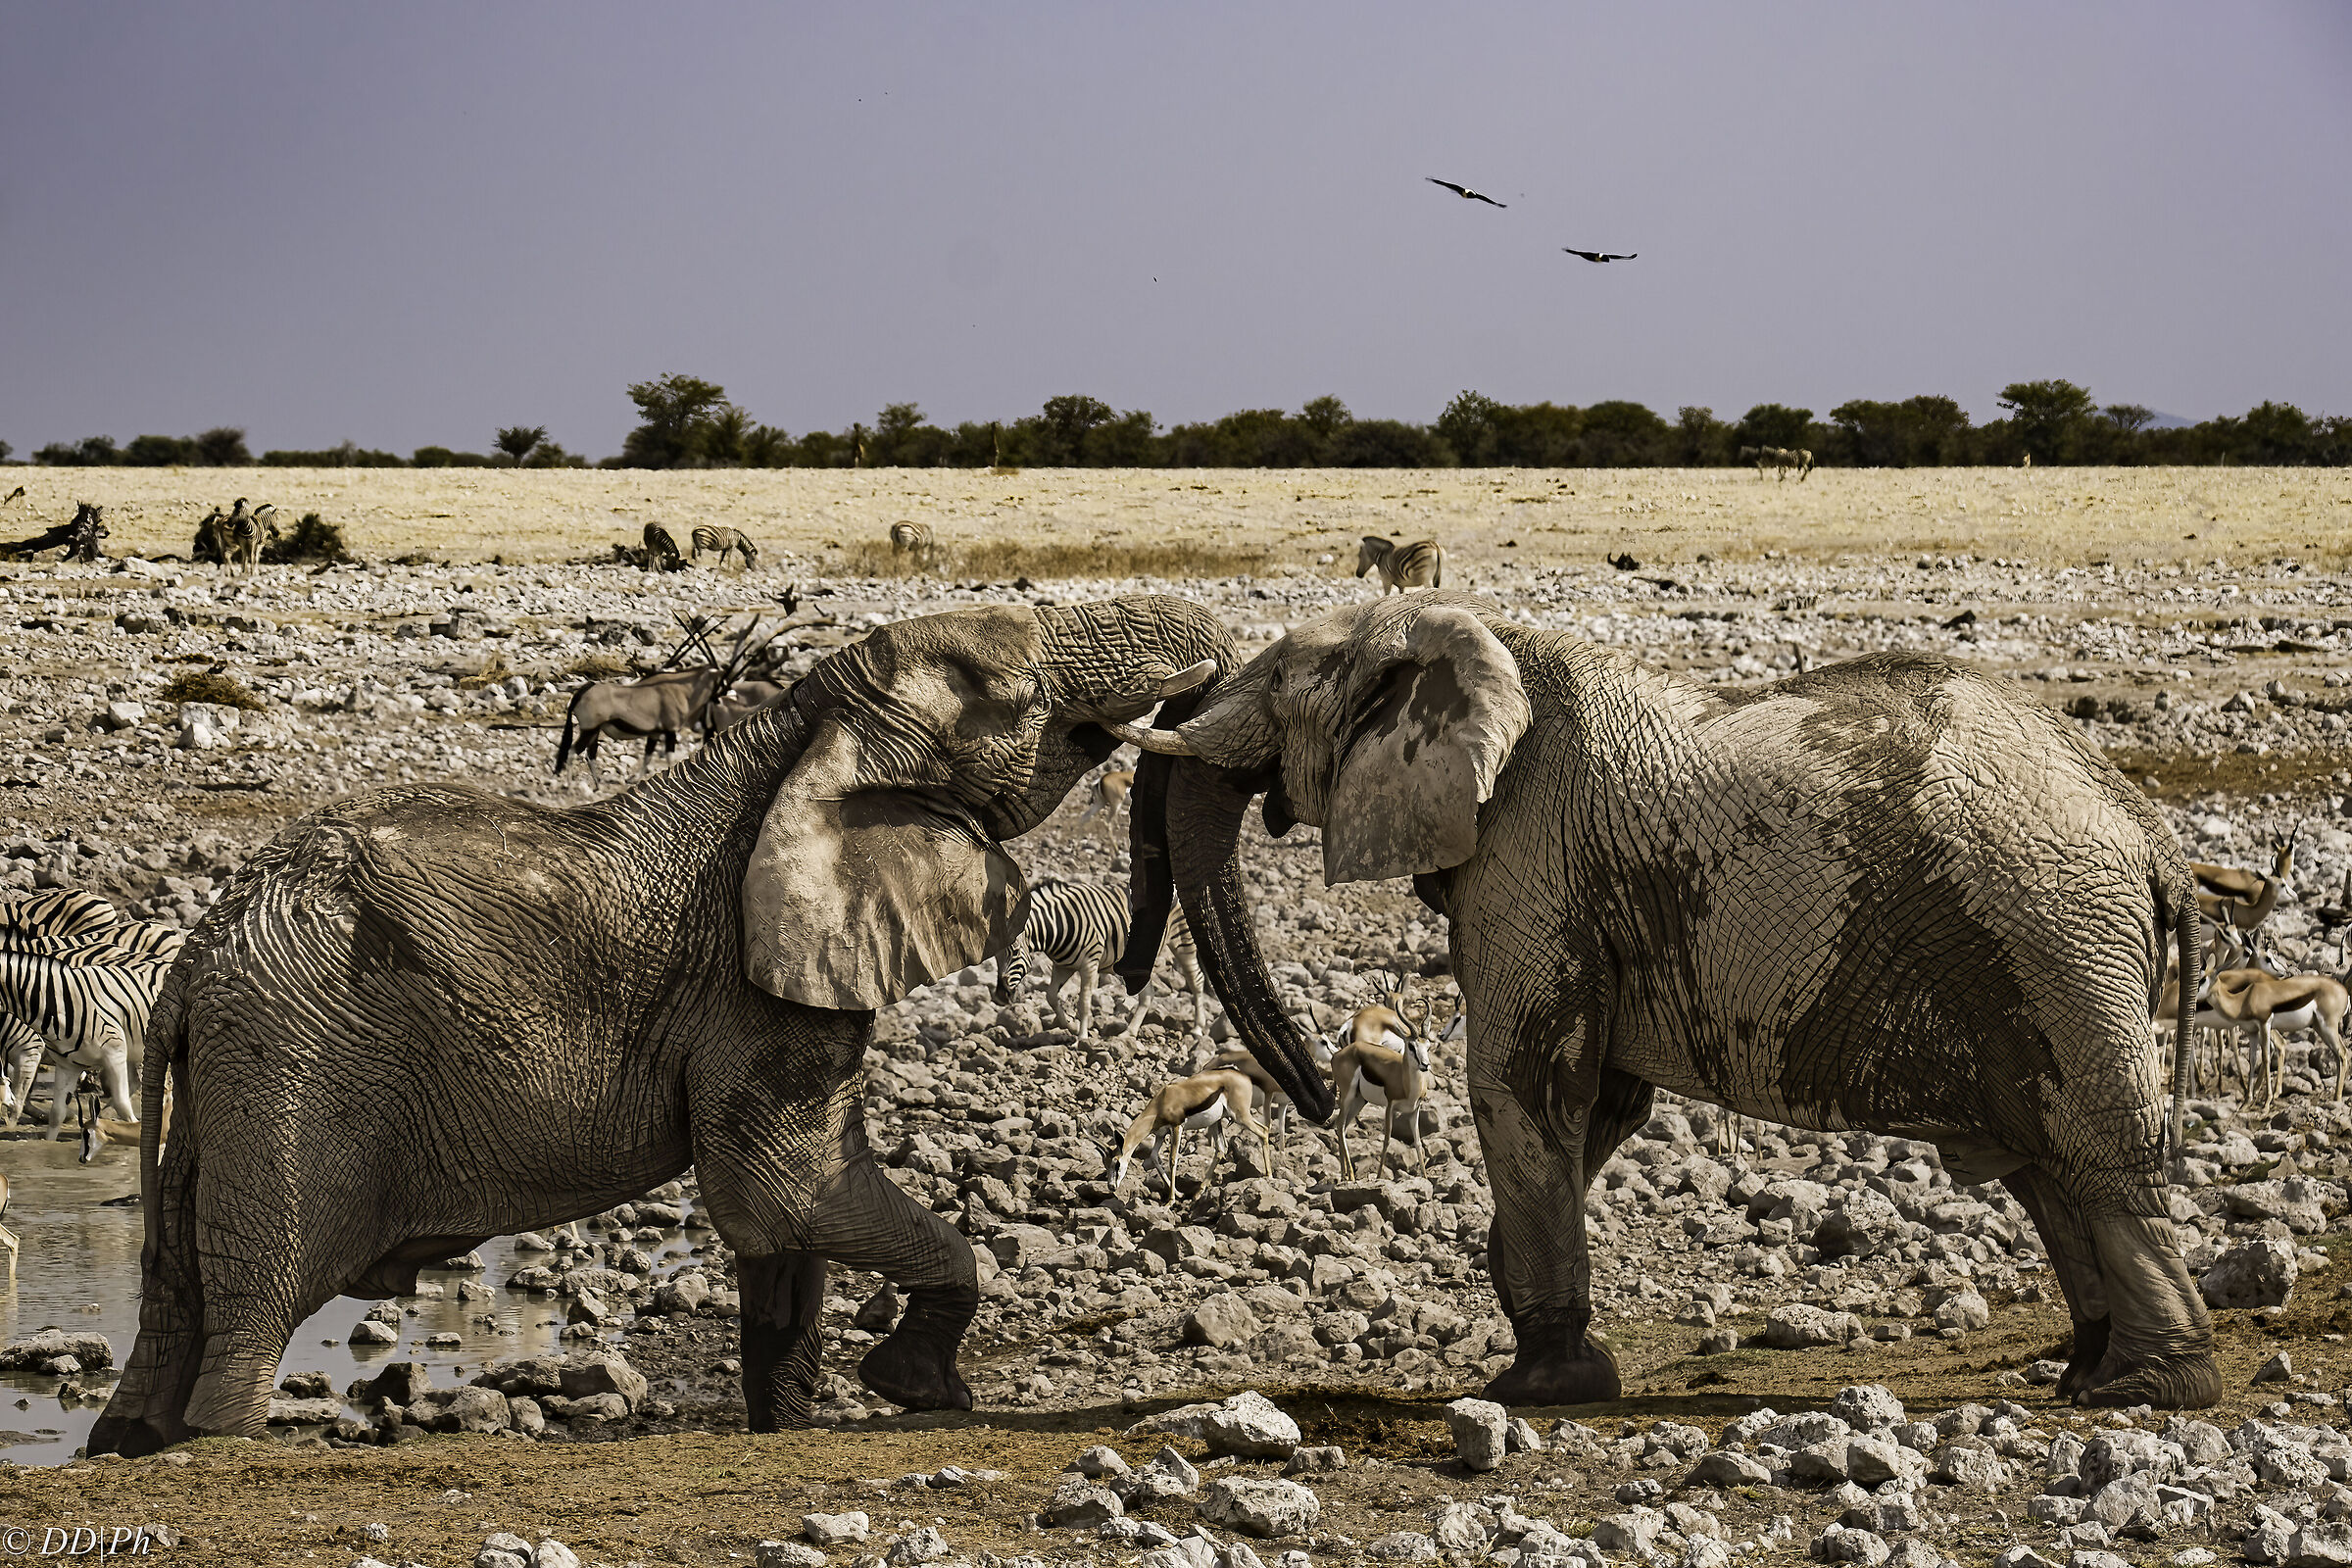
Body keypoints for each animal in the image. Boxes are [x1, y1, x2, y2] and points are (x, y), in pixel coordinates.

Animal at [90, 594, 1336, 1458]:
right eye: (1014, 689)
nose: (1319, 1096)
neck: (799, 723)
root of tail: (191, 961)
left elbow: (780, 1233)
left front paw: (793, 1423)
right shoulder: (751, 984)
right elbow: (785, 1191)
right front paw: (917, 1391)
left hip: (232, 1081)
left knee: (174, 1295)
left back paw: (125, 1443)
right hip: (290, 1069)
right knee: (252, 1309)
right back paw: (215, 1443)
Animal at [1110, 590, 2218, 1411]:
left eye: (1280, 681)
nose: (1313, 1091)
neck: (1465, 635)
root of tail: (2147, 829)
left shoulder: (1530, 851)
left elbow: (1521, 1084)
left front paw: (1539, 1390)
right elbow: (1603, 1098)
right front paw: (1518, 1318)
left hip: (2054, 934)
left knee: (2093, 1151)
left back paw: (2146, 1391)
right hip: (2035, 952)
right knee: (2043, 1163)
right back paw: (2091, 1373)